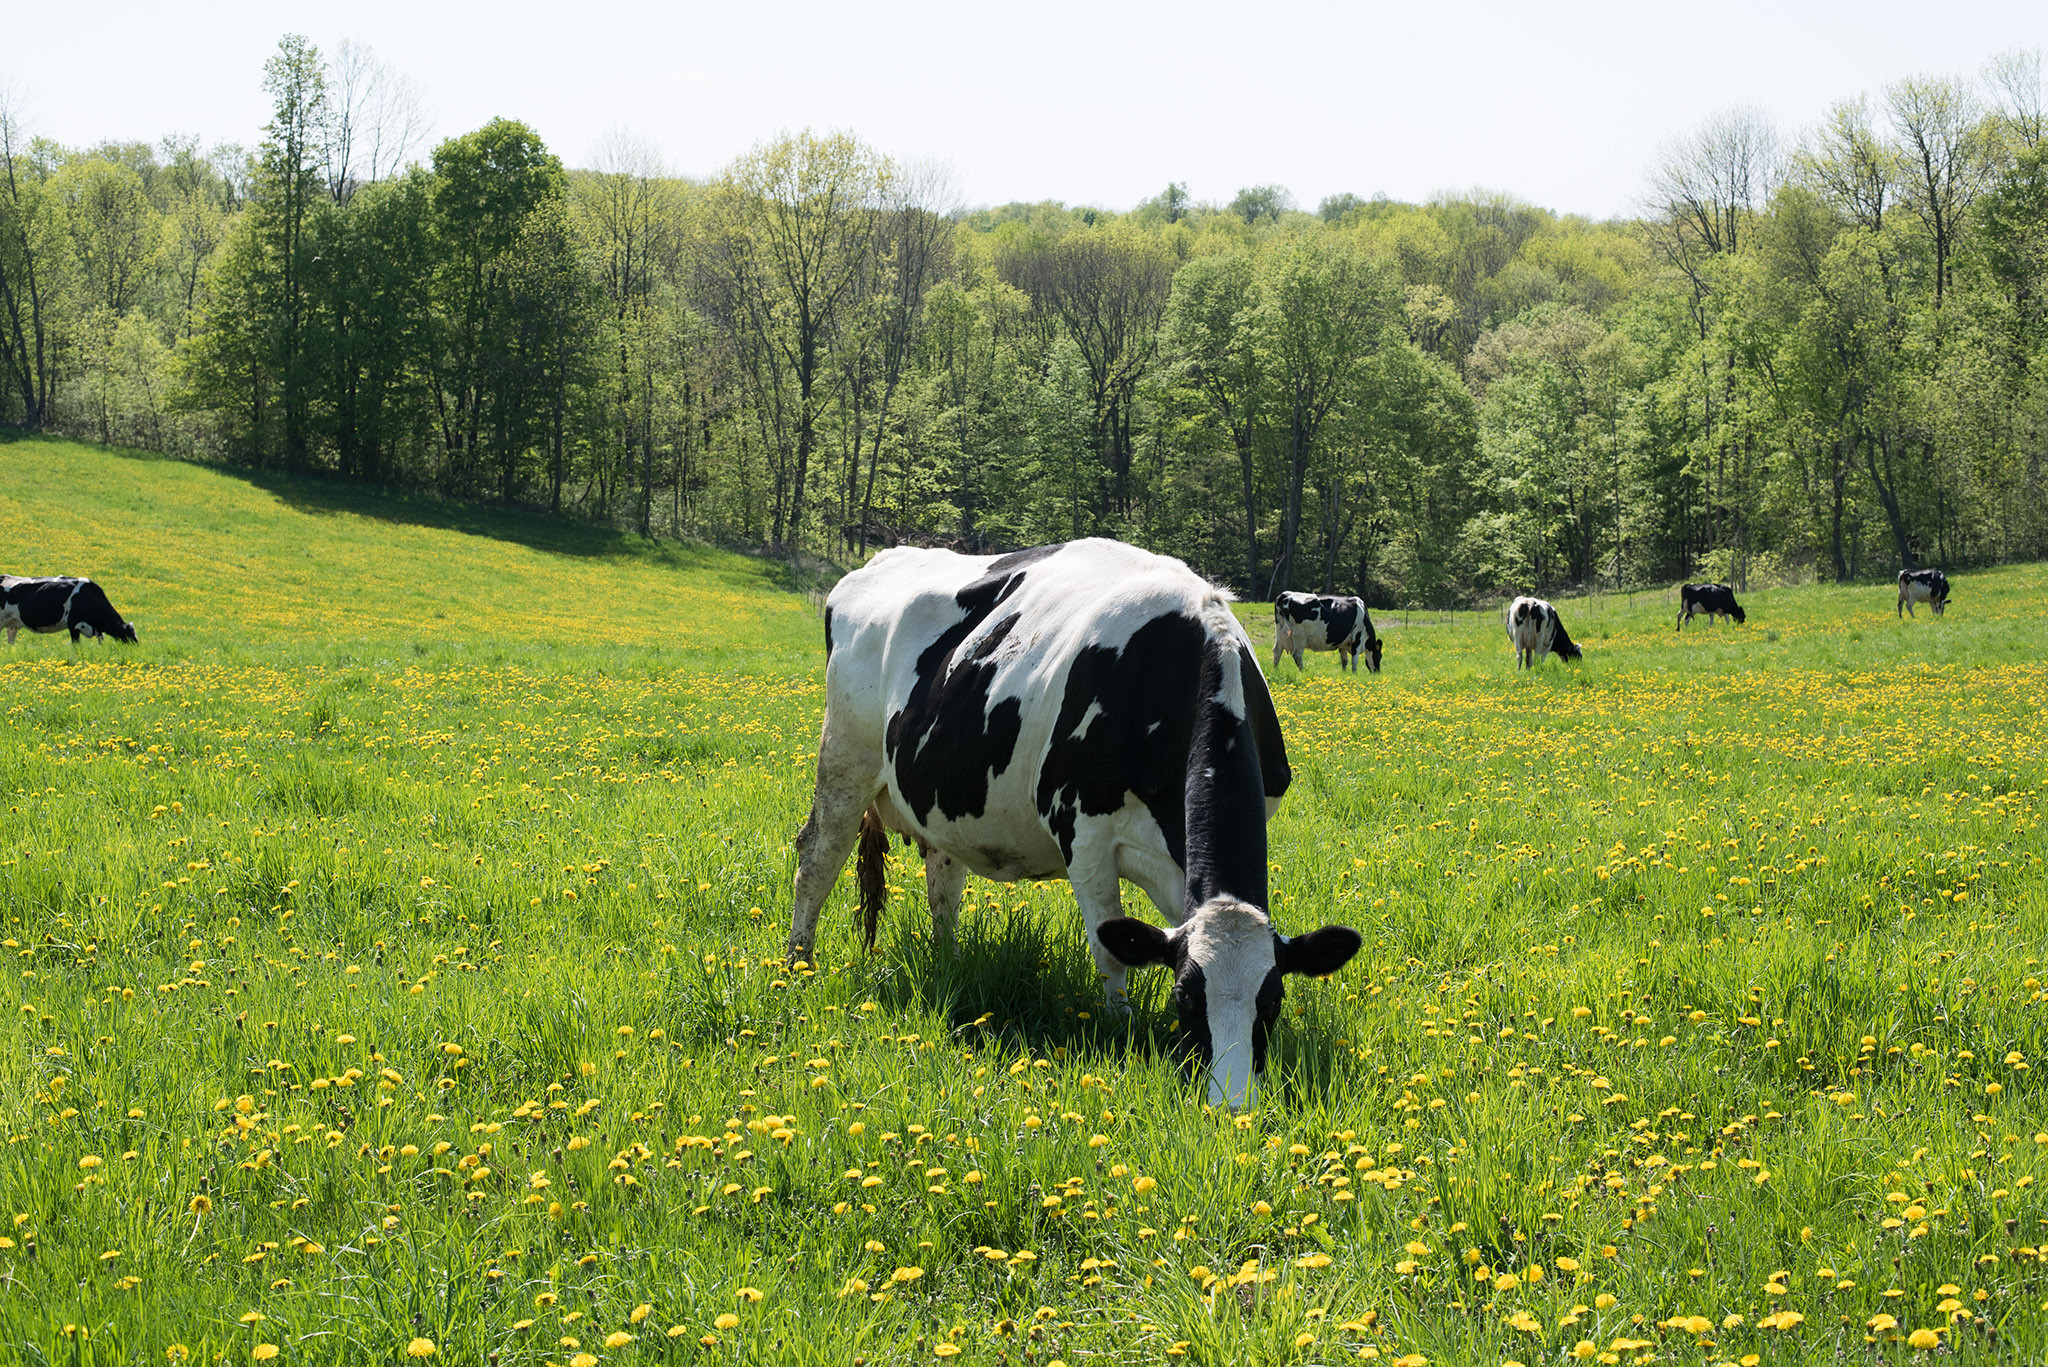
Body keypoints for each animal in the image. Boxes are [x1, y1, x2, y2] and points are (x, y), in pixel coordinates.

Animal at [794, 541, 1359, 1106]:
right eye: (1184, 999)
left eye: (1273, 1000)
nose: (1230, 1106)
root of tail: (880, 560)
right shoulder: (1084, 836)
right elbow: (1110, 953)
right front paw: (1123, 1030)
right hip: (844, 758)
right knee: (815, 862)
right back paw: (798, 966)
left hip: (938, 799)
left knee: (942, 886)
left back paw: (949, 963)